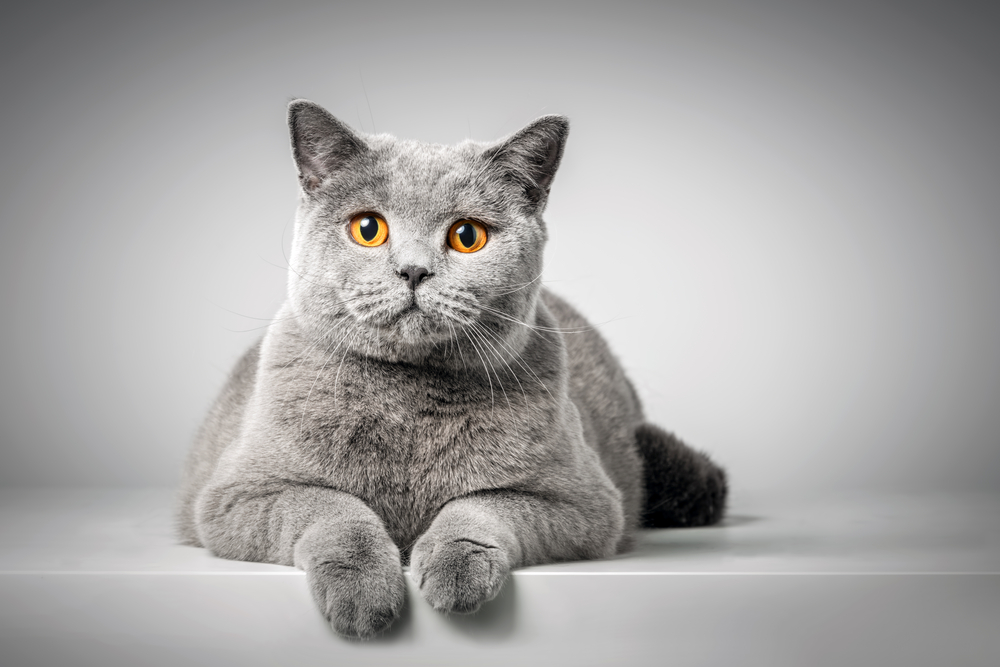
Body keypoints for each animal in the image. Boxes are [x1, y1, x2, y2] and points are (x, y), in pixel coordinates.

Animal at [178, 98, 728, 636]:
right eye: (368, 229)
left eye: (467, 235)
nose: (413, 269)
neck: (408, 403)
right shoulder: (236, 495)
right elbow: (332, 507)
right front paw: (361, 590)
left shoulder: (582, 504)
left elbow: (481, 504)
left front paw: (456, 569)